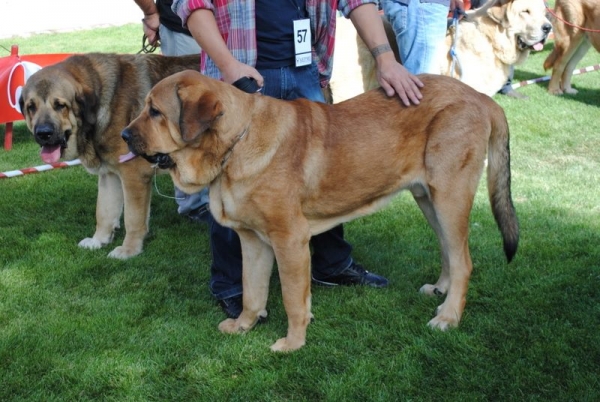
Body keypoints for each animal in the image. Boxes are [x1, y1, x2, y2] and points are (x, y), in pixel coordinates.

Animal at [19, 52, 199, 258]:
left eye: (60, 105)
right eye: (31, 107)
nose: (43, 133)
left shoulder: (133, 176)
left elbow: (133, 218)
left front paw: (129, 250)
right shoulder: (109, 174)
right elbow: (104, 211)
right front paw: (99, 240)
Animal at [122, 70, 520, 352]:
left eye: (155, 111)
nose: (124, 136)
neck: (236, 144)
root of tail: (481, 97)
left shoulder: (290, 241)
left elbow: (292, 298)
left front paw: (293, 343)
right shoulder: (253, 242)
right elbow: (251, 292)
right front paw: (244, 326)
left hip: (449, 196)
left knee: (464, 260)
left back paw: (449, 317)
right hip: (430, 200)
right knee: (450, 252)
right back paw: (440, 291)